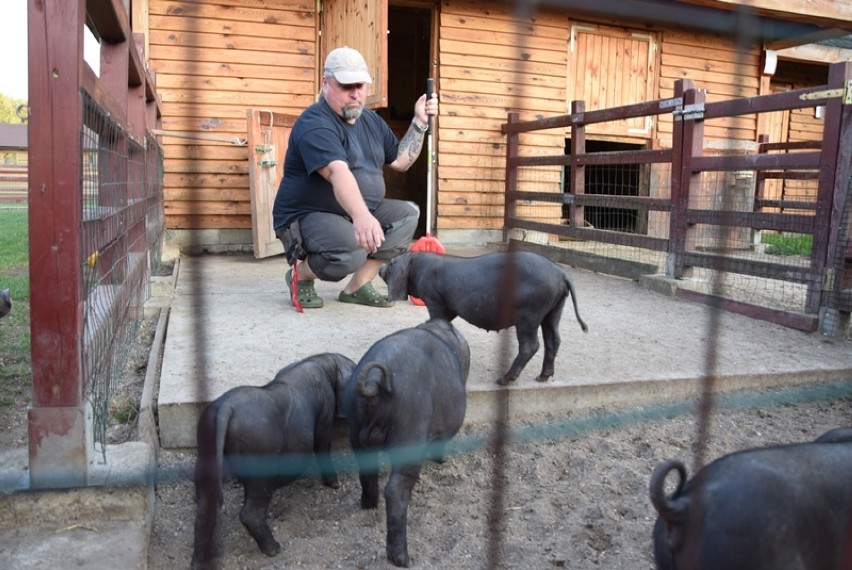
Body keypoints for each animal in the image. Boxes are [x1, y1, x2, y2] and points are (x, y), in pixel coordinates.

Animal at [191, 350, 354, 568]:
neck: (324, 364)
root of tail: (226, 409)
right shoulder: (325, 414)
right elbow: (323, 444)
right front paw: (336, 485)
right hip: (260, 463)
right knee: (250, 513)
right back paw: (274, 549)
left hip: (205, 448)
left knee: (203, 513)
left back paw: (199, 563)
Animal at [342, 318, 472, 564]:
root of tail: (374, 383)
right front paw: (441, 461)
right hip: (409, 433)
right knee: (396, 490)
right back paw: (403, 559)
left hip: (355, 429)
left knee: (367, 474)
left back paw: (368, 505)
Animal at [380, 251, 584, 384]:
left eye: (391, 263)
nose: (381, 265)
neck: (419, 266)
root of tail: (561, 273)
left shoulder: (434, 299)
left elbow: (436, 318)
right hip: (554, 308)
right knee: (554, 339)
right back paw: (542, 377)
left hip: (530, 313)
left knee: (531, 345)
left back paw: (502, 380)